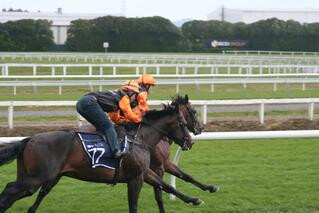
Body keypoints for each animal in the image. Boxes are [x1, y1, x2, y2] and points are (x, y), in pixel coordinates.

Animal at [0, 100, 199, 212]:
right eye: (183, 122)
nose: (191, 140)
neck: (139, 138)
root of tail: (30, 139)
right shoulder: (136, 177)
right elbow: (134, 204)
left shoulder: (145, 172)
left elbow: (167, 186)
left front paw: (195, 199)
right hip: (38, 176)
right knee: (10, 189)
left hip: (38, 176)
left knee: (17, 194)